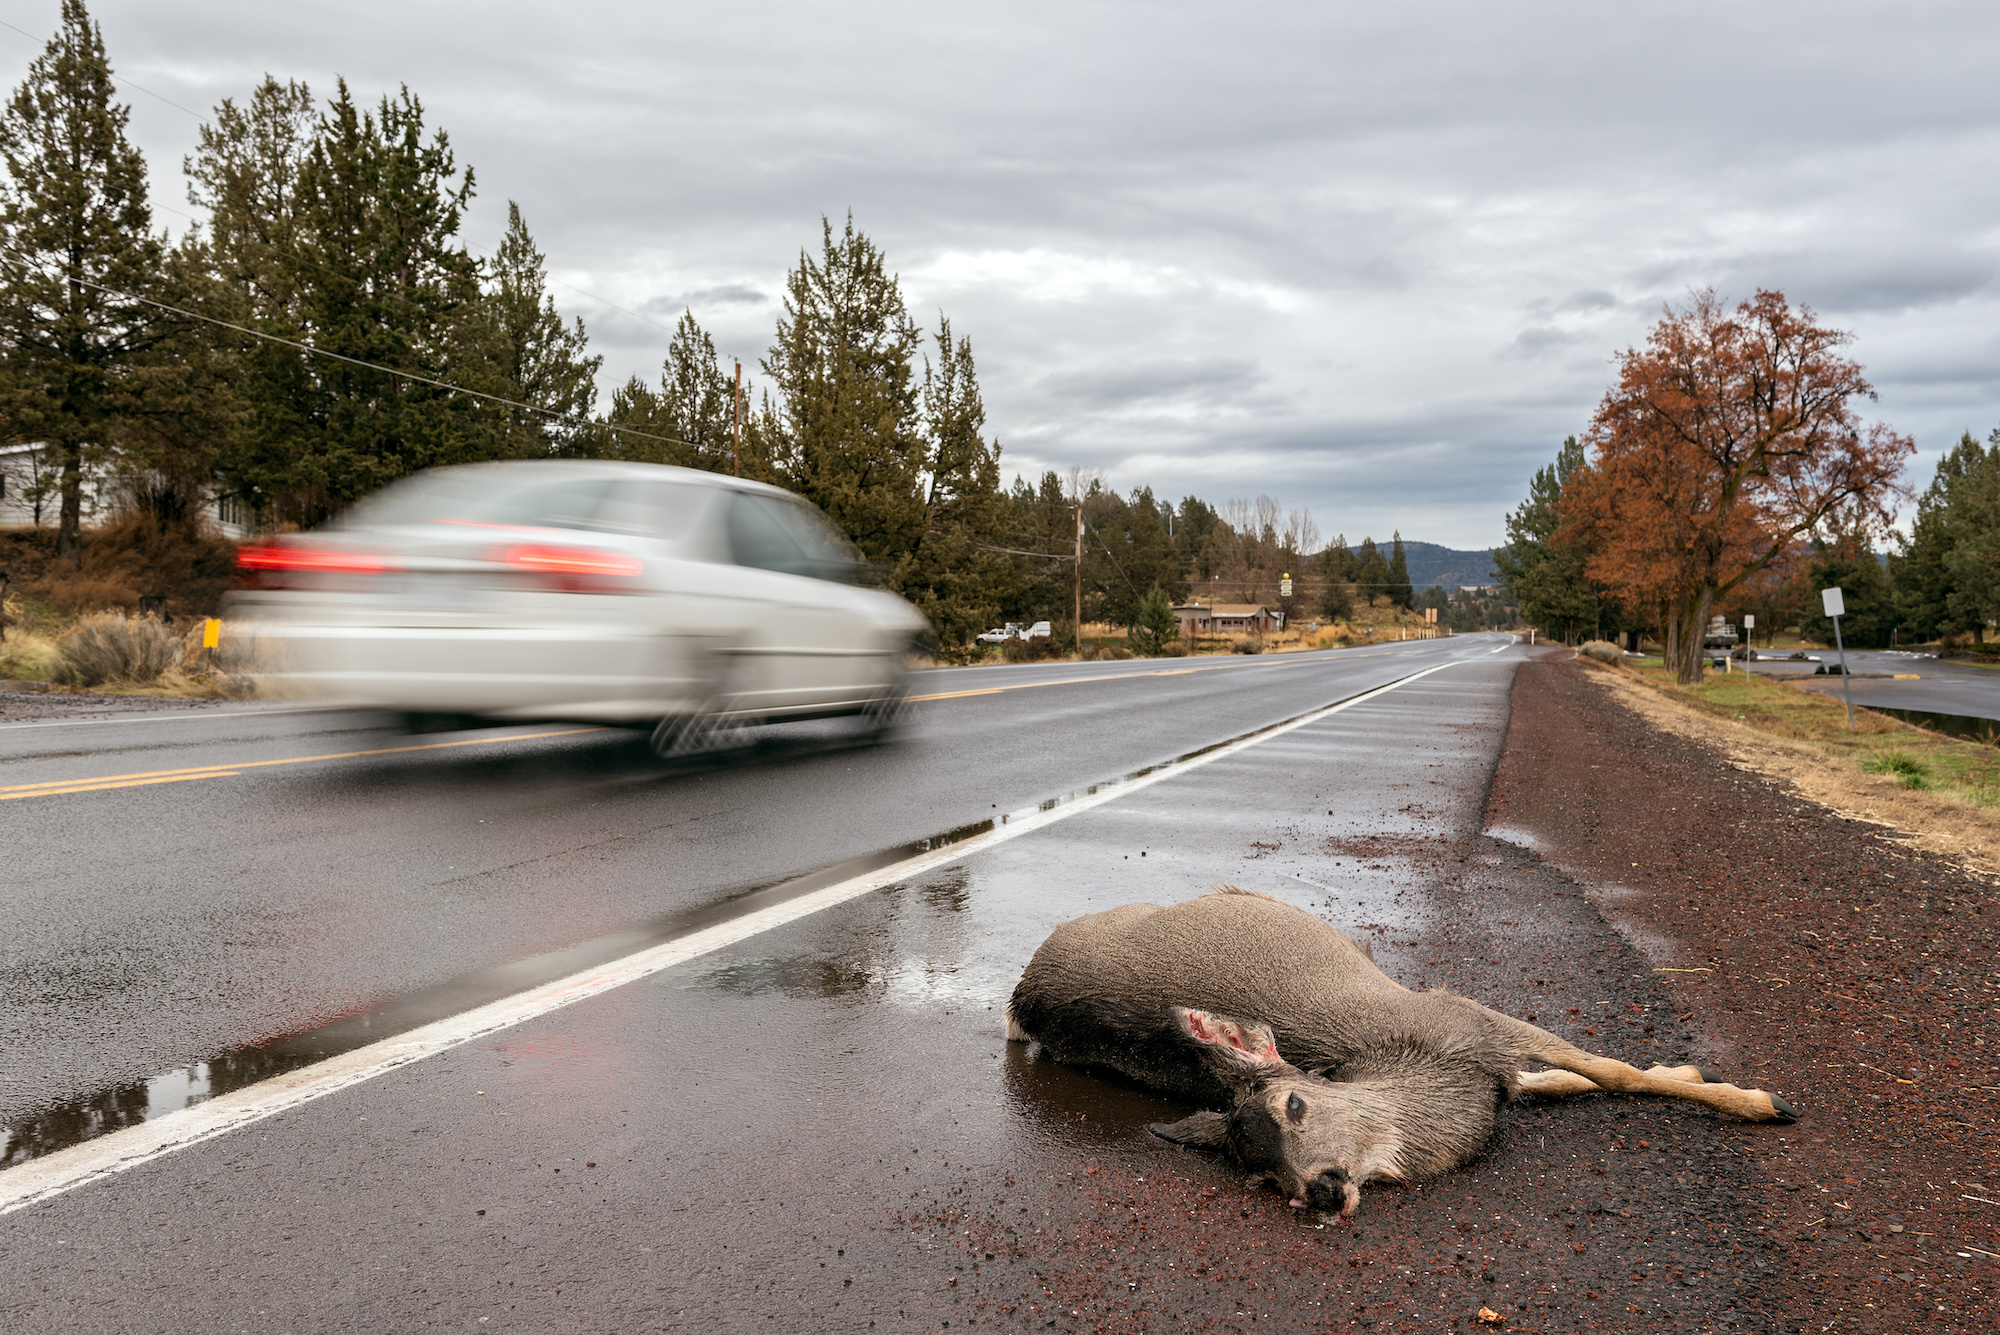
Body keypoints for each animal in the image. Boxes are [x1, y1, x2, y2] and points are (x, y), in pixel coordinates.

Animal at [1008, 887, 1808, 1223]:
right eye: (1261, 1177)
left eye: (1294, 1101)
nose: (1318, 1189)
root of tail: (1024, 991)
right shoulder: (1474, 1037)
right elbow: (1571, 1078)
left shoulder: (1465, 1012)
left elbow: (1605, 1069)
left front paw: (1753, 1097)